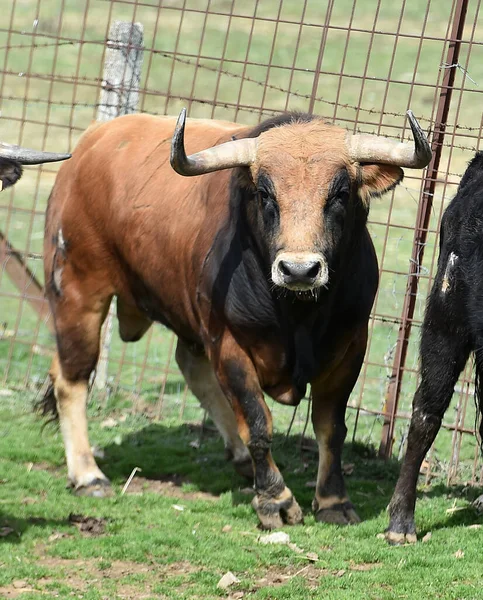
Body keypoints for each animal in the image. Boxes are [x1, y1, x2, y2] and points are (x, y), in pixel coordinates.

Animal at [38, 110, 432, 528]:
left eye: (340, 194)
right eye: (265, 194)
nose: (299, 270)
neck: (298, 316)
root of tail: (91, 143)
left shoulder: (350, 346)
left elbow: (330, 428)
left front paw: (333, 501)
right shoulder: (228, 344)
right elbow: (257, 422)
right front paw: (275, 499)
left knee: (190, 367)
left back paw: (241, 460)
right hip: (78, 294)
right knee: (71, 378)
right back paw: (87, 474)